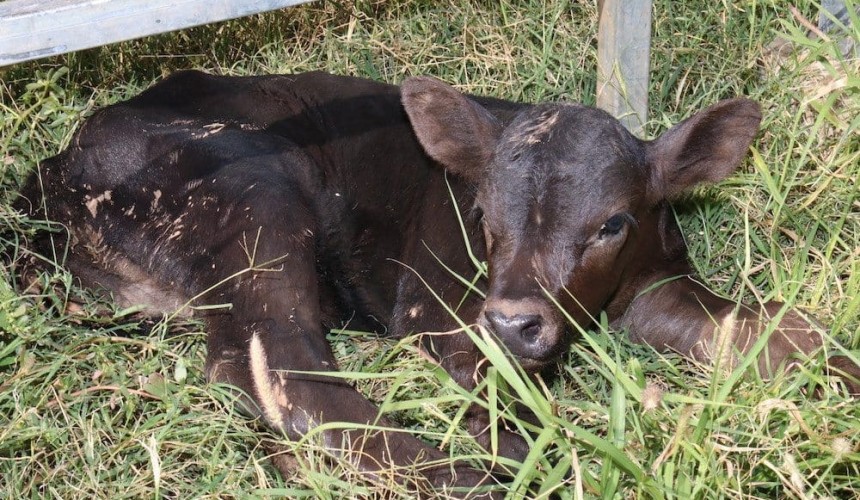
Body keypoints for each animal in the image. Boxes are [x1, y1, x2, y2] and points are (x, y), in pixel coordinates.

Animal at [16, 71, 859, 496]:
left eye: (614, 223)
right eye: (480, 211)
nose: (514, 319)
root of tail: (54, 166)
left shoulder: (657, 285)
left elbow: (781, 328)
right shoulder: (432, 306)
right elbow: (511, 399)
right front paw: (568, 451)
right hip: (251, 186)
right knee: (281, 367)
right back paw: (475, 474)